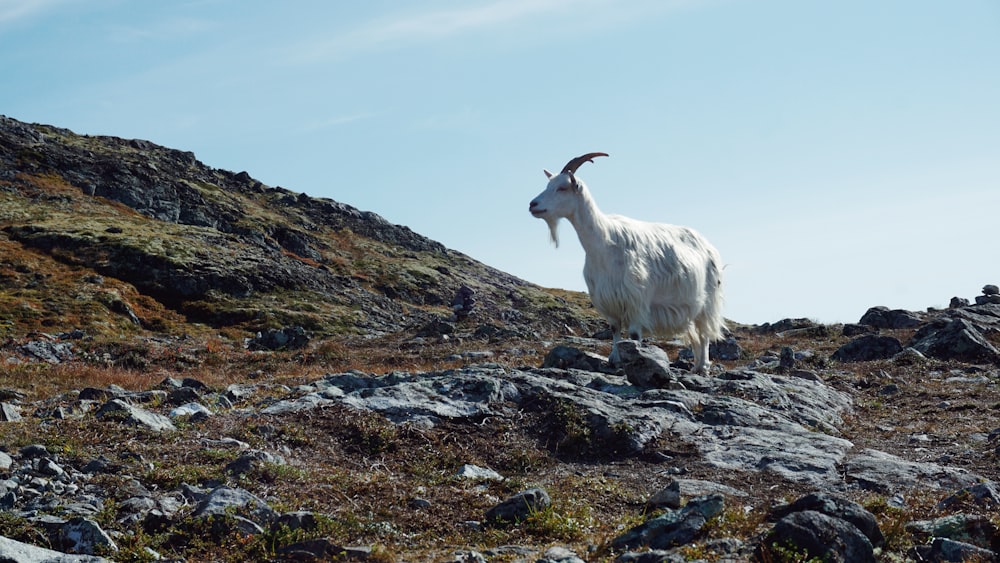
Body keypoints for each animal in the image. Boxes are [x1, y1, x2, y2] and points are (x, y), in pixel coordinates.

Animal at [528, 153, 724, 374]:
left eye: (562, 187)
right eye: (548, 184)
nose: (533, 205)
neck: (605, 242)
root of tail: (709, 246)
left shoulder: (636, 300)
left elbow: (634, 335)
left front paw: (637, 358)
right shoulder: (608, 300)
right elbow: (615, 330)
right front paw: (614, 358)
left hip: (708, 302)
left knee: (705, 334)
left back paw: (704, 367)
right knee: (697, 336)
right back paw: (696, 366)